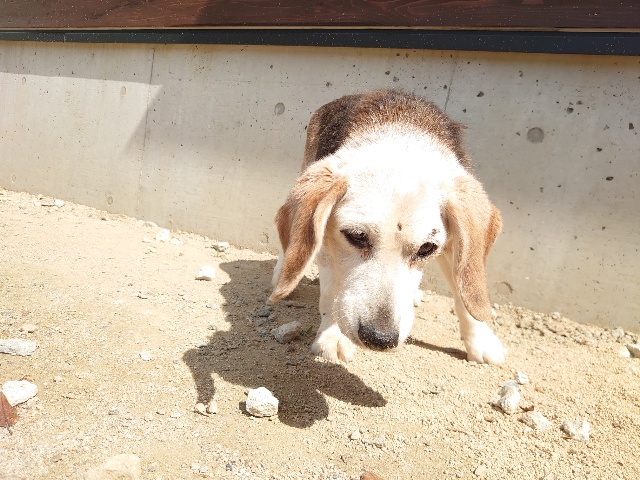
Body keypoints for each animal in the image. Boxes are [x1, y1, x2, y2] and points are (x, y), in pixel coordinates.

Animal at [270, 89, 505, 364]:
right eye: (356, 236)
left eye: (426, 248)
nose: (380, 338)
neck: (400, 132)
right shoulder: (327, 242)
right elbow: (331, 292)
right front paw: (332, 336)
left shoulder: (455, 244)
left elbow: (464, 291)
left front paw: (481, 341)